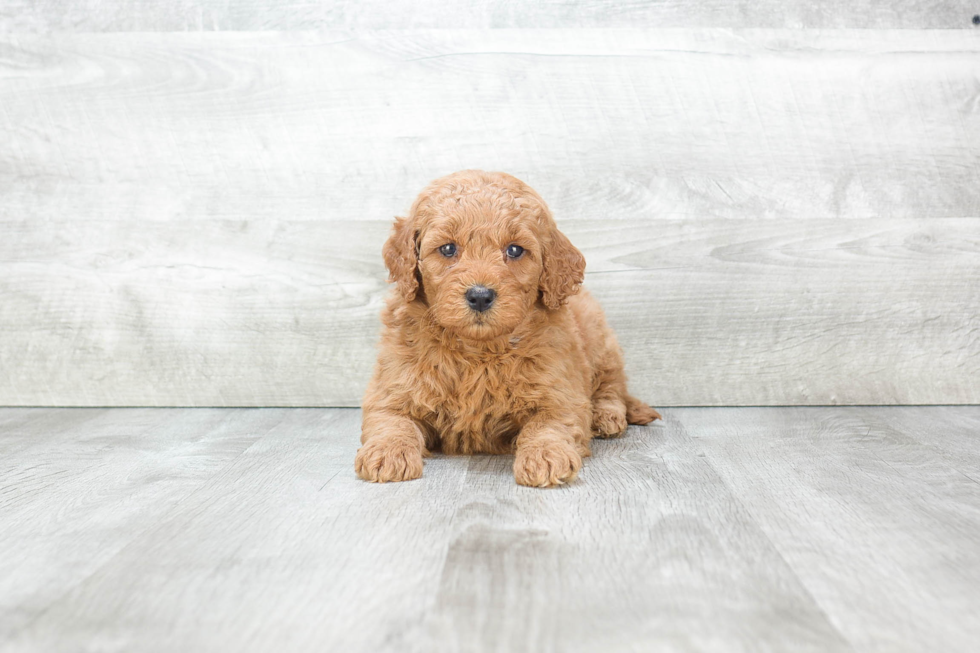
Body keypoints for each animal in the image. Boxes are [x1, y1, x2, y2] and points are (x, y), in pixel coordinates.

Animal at [356, 171, 664, 486]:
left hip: (601, 338)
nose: (480, 296)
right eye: (448, 249)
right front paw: (387, 453)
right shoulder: (391, 388)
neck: (478, 350)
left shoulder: (561, 394)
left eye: (515, 250)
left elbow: (548, 423)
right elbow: (391, 421)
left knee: (612, 385)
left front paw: (545, 455)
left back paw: (606, 415)